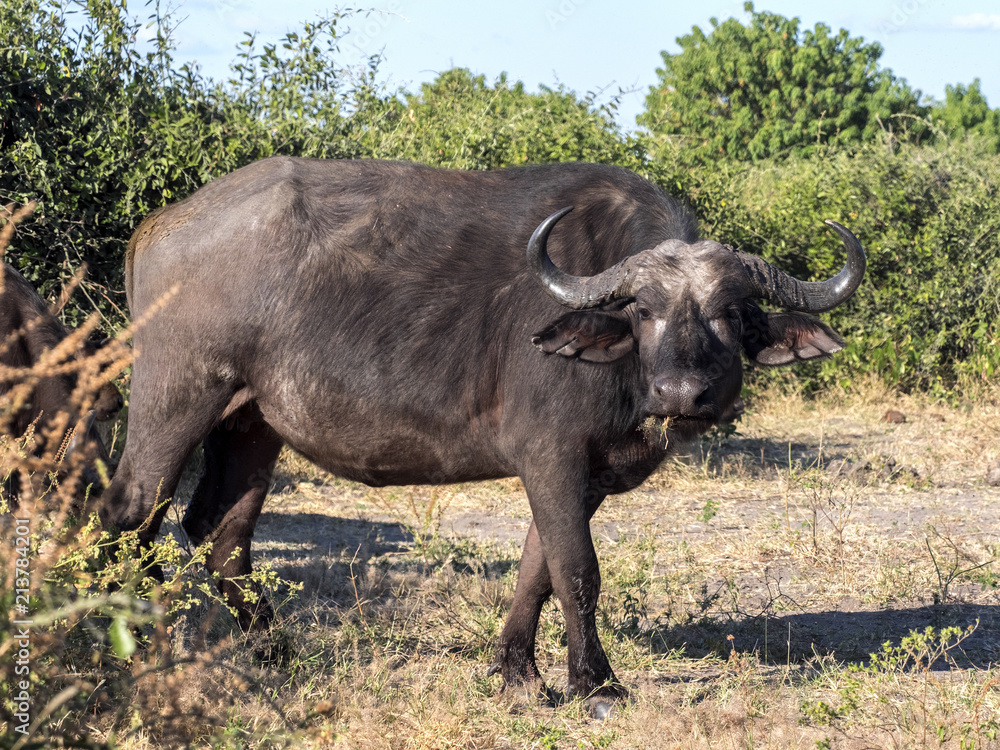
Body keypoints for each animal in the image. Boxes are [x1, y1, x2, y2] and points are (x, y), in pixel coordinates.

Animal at [103, 157, 868, 712]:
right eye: (643, 311)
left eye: (731, 313)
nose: (683, 395)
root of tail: (158, 225)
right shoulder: (551, 457)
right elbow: (578, 570)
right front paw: (597, 684)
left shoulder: (581, 475)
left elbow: (536, 568)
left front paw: (518, 674)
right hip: (175, 403)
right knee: (129, 516)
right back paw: (140, 647)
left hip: (252, 423)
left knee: (220, 537)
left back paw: (277, 655)